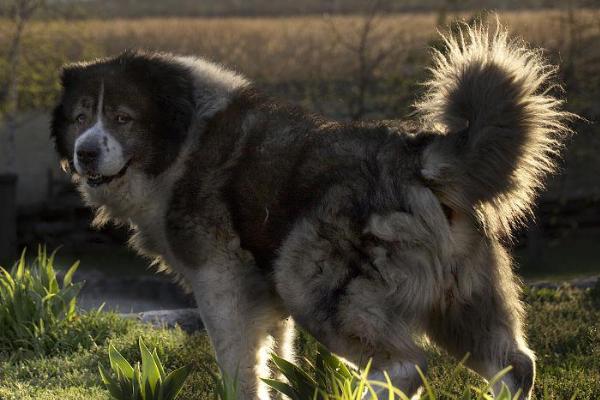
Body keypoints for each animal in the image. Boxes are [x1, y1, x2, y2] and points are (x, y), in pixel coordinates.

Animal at [51, 23, 572, 398]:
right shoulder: (267, 298)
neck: (180, 137)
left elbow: (241, 366)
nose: (85, 153)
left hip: (311, 283)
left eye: (122, 118)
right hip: (464, 302)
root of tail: (418, 156)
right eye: (80, 117)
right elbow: (278, 363)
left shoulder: (222, 283)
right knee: (515, 365)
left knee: (403, 370)